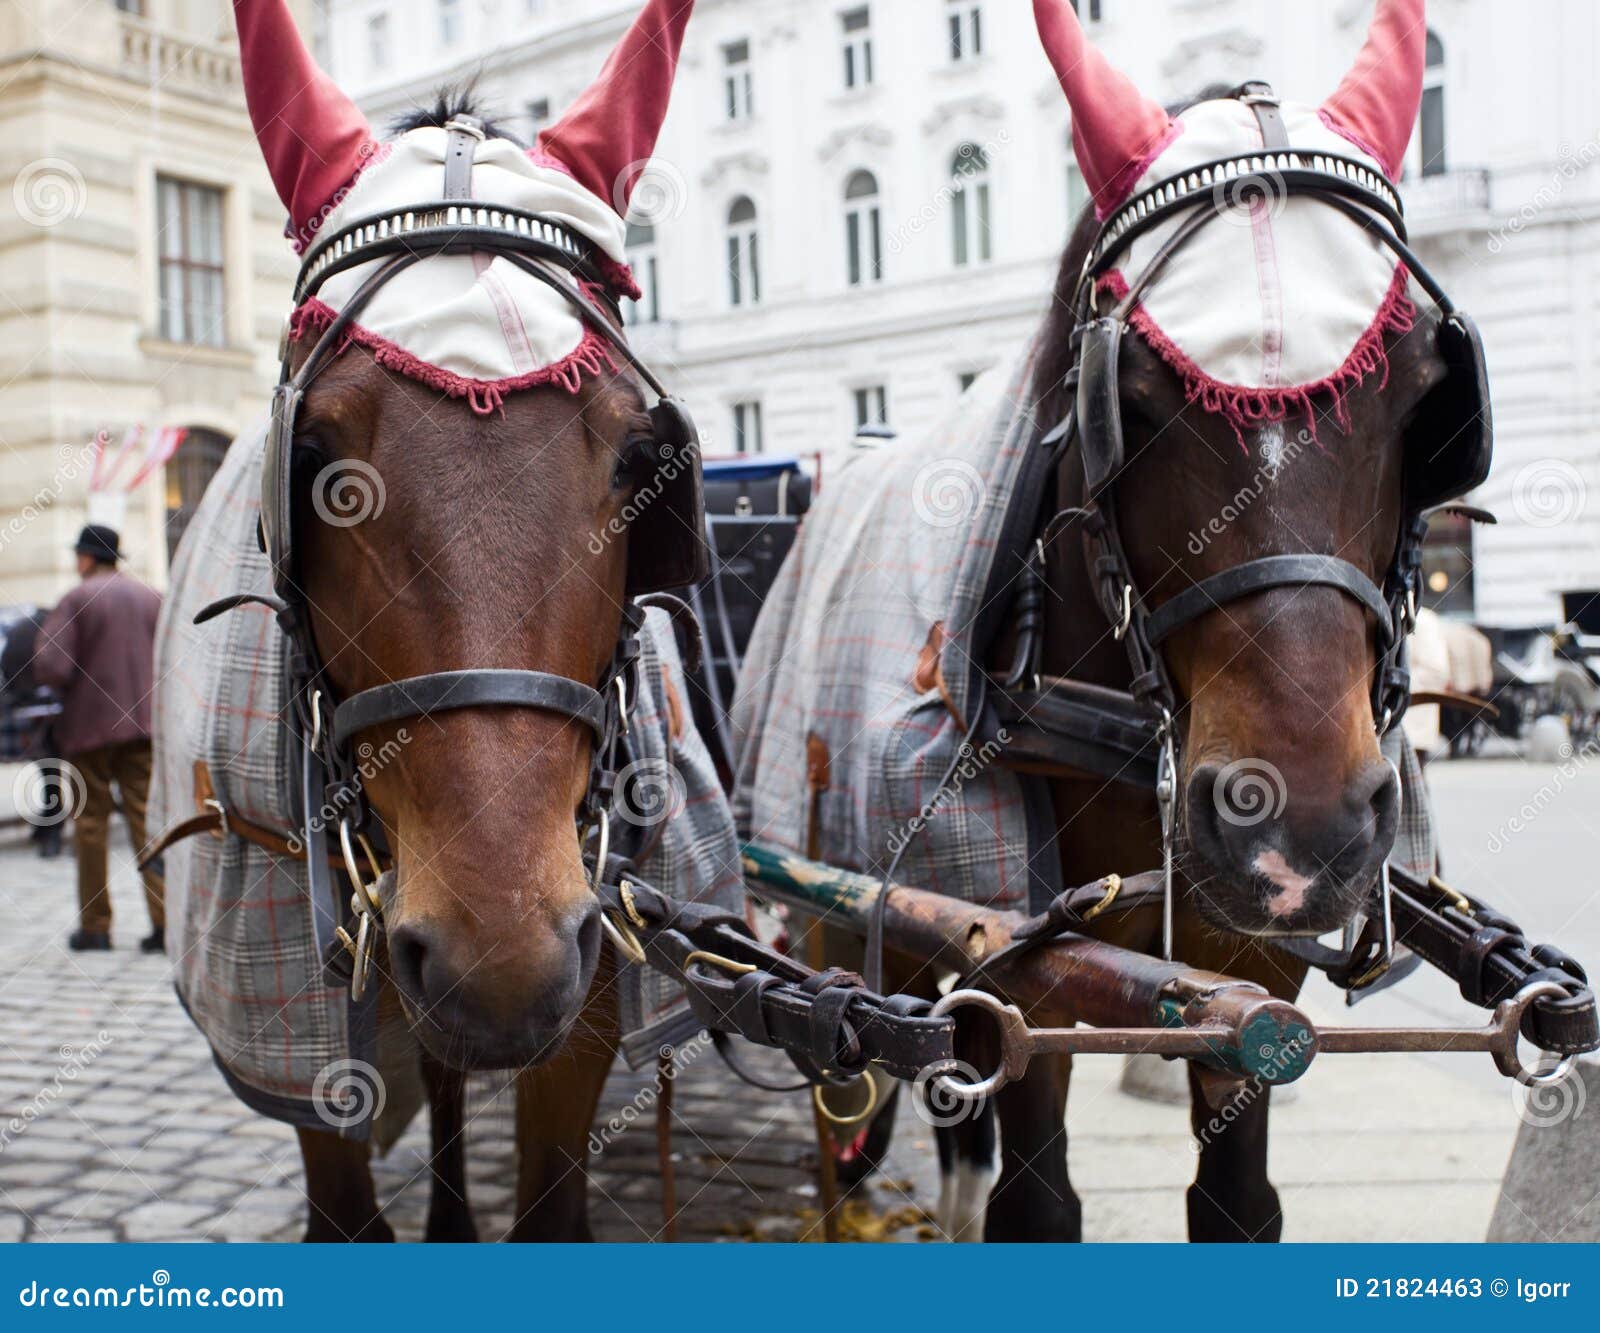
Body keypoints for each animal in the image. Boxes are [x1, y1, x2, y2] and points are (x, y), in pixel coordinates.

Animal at [735, 0, 1488, 1241]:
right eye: (1127, 399)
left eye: (1427, 394)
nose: (1297, 824)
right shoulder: (1012, 962)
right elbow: (1036, 1200)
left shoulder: (1243, 984)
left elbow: (1237, 1200)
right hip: (830, 896)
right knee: (845, 1083)